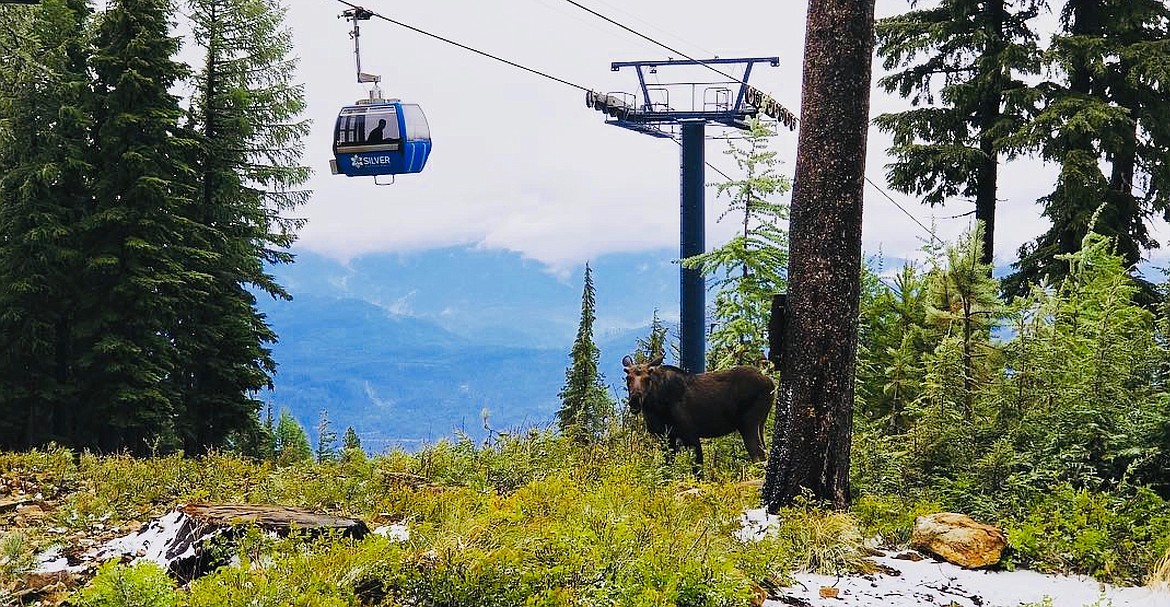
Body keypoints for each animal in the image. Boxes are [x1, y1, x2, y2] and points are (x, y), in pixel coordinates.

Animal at [622, 355, 776, 470]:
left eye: (648, 378)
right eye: (628, 378)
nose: (634, 400)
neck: (655, 407)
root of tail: (771, 383)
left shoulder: (690, 434)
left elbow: (698, 470)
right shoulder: (667, 437)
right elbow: (668, 467)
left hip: (748, 423)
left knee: (759, 457)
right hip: (760, 424)